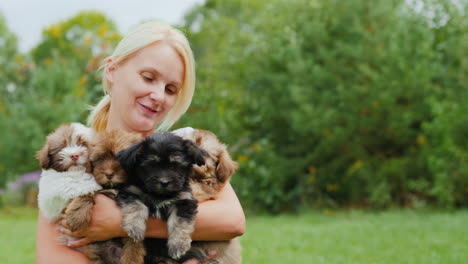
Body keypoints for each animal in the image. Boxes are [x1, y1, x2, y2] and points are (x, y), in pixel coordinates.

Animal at [115, 132, 208, 262]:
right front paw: (135, 227)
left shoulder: (184, 201)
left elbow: (180, 222)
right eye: (151, 165)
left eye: (175, 166)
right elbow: (137, 207)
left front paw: (178, 245)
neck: (159, 194)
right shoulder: (130, 192)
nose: (164, 182)